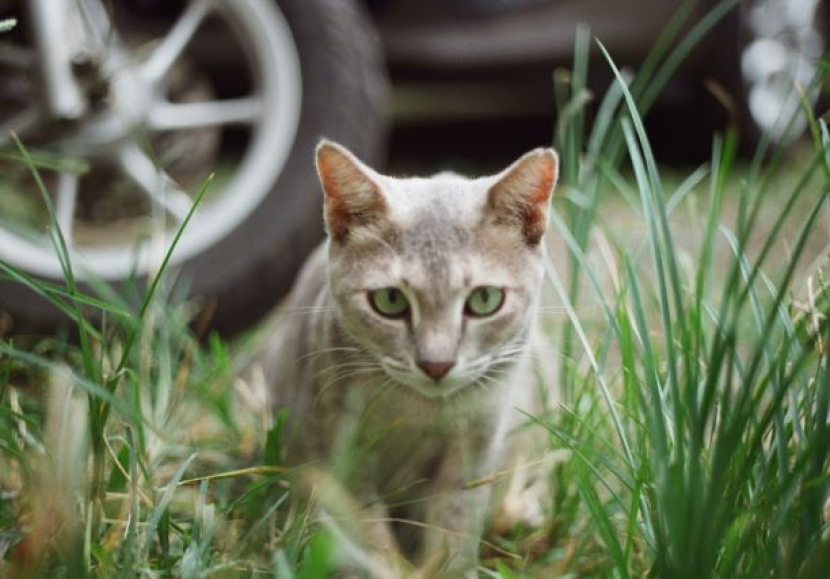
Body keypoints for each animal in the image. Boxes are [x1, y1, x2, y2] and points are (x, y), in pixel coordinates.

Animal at [260, 139, 560, 576]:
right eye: (390, 300)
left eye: (485, 300)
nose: (436, 364)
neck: (419, 412)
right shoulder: (340, 445)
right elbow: (365, 522)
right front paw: (383, 565)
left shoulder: (474, 446)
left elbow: (456, 521)